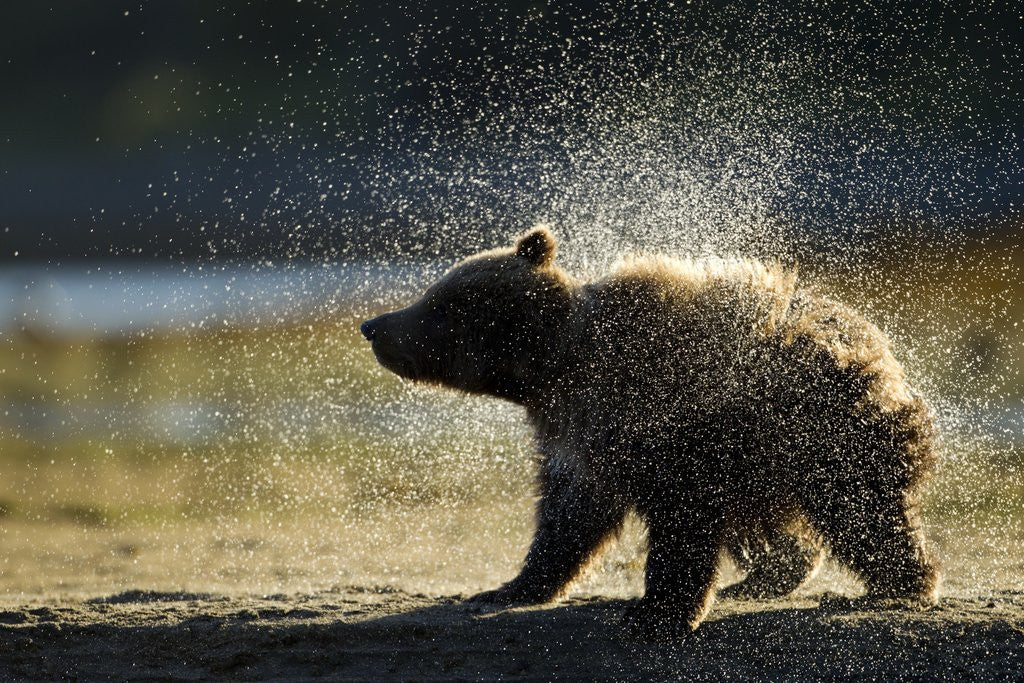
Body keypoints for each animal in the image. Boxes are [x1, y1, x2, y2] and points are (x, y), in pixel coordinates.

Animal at [360, 226, 940, 632]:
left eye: (436, 303)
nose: (373, 325)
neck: (558, 372)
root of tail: (876, 344)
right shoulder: (575, 437)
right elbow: (567, 518)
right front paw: (508, 588)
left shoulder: (667, 424)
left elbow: (681, 522)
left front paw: (654, 615)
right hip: (769, 458)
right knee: (773, 525)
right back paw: (764, 576)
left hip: (823, 434)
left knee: (861, 512)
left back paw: (898, 585)